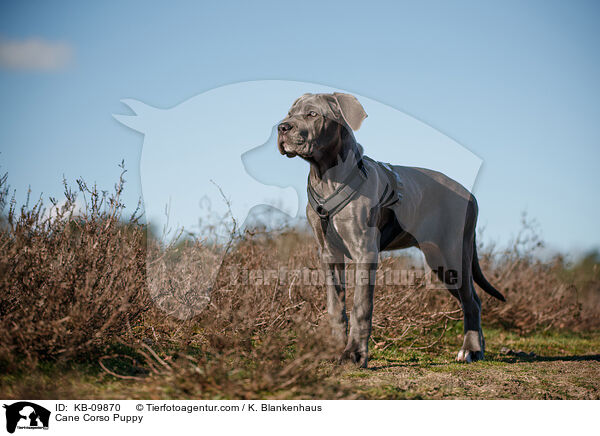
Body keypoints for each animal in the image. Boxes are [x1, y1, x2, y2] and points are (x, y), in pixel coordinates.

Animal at [278, 93, 504, 370]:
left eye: (312, 114)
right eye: (290, 113)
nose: (282, 127)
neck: (327, 177)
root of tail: (469, 194)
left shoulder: (365, 252)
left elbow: (360, 306)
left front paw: (354, 354)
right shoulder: (329, 255)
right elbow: (335, 306)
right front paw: (333, 350)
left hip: (452, 257)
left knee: (471, 302)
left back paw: (470, 350)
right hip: (440, 262)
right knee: (474, 300)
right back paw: (478, 348)